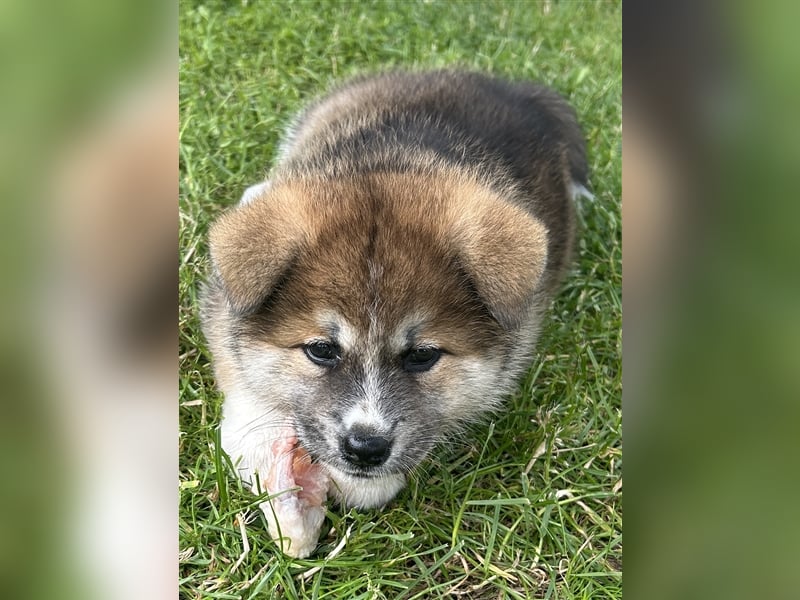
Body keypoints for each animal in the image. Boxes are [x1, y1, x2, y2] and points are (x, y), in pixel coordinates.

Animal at [200, 71, 588, 556]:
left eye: (422, 356)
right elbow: (244, 391)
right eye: (321, 350)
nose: (365, 448)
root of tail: (513, 90)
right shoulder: (222, 313)